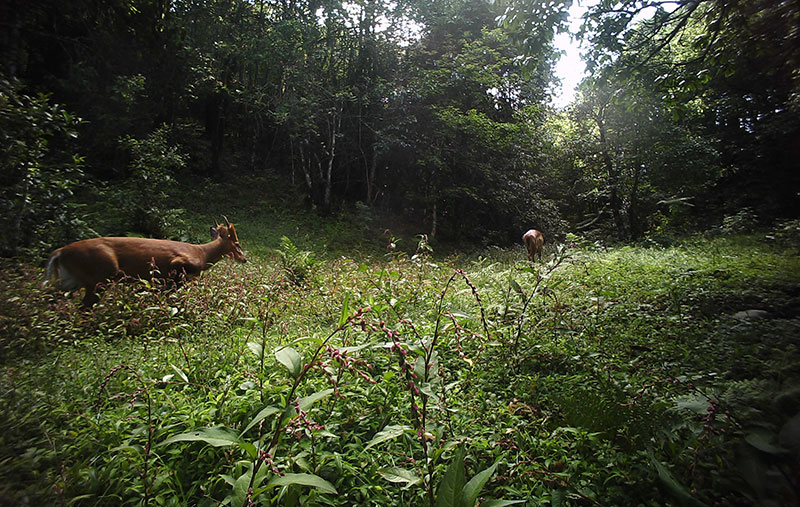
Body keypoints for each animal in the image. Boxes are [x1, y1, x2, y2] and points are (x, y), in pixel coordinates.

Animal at [43, 216, 244, 308]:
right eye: (237, 243)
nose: (244, 258)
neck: (202, 254)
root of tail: (60, 252)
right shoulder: (176, 266)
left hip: (71, 279)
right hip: (100, 275)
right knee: (84, 305)